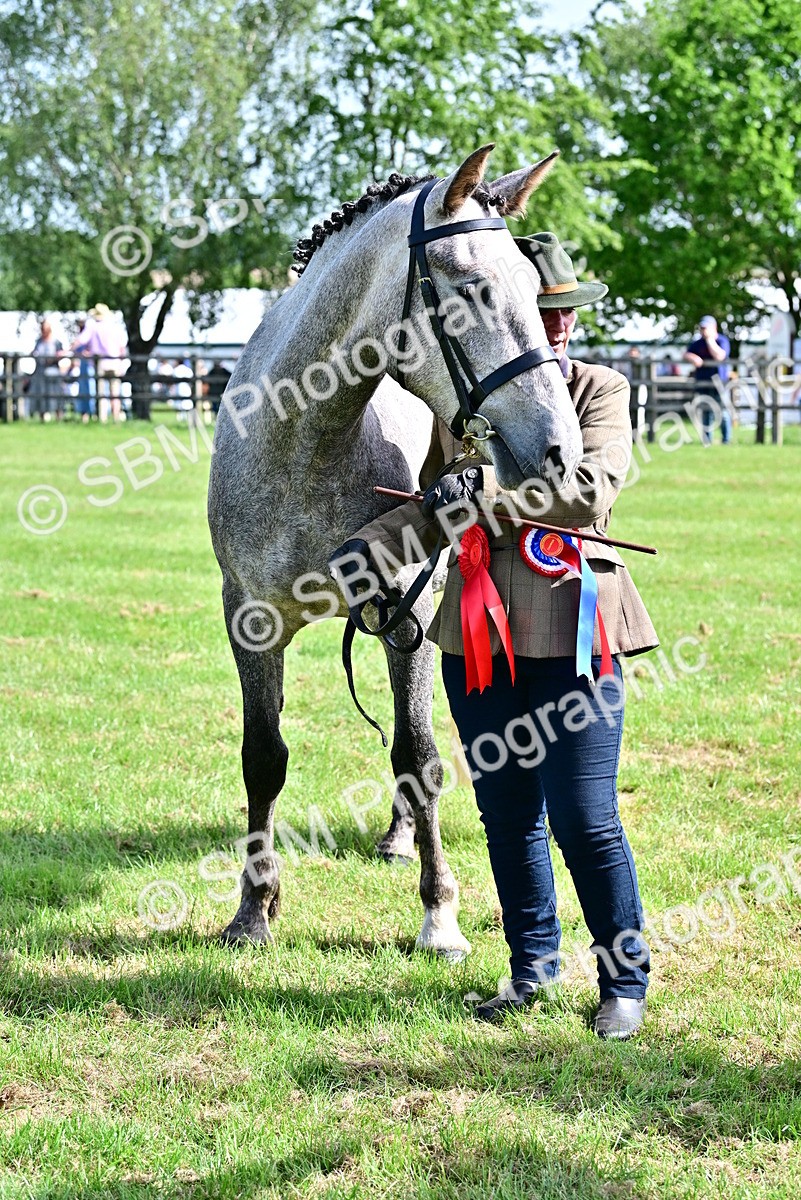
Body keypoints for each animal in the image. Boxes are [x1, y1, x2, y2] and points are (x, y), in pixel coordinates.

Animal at [207, 143, 583, 958]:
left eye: (531, 289)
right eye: (473, 290)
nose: (559, 452)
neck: (307, 446)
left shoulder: (405, 619)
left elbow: (416, 755)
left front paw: (438, 917)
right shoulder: (250, 621)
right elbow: (263, 758)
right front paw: (253, 910)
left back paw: (401, 837)